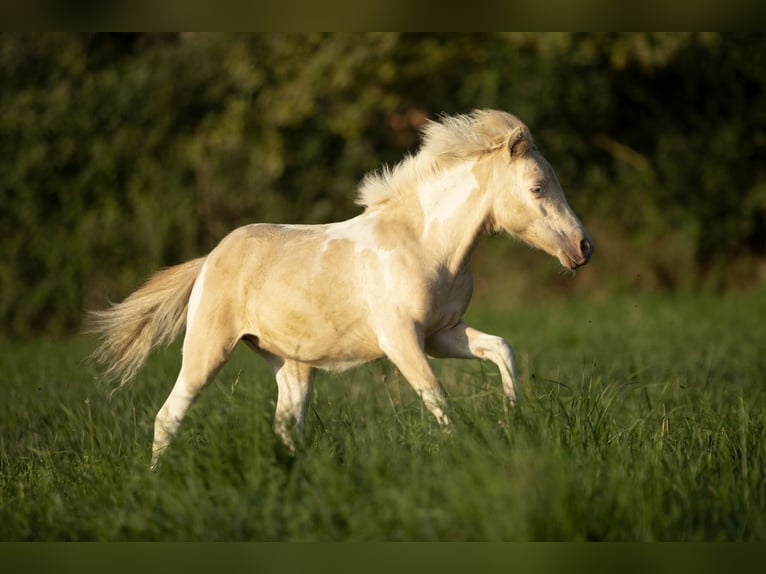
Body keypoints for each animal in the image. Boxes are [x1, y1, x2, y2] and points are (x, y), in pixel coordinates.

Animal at [90, 110, 592, 470]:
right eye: (538, 187)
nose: (583, 247)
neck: (426, 244)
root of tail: (210, 260)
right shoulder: (402, 340)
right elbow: (438, 399)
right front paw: (464, 452)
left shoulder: (443, 333)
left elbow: (501, 348)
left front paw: (514, 416)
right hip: (207, 348)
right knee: (168, 416)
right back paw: (154, 481)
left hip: (290, 364)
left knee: (286, 426)